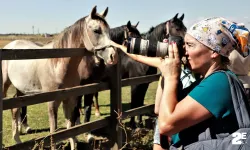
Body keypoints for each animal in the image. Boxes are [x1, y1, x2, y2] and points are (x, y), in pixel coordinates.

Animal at [1, 5, 117, 149]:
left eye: (108, 31)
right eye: (97, 30)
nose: (113, 56)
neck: (58, 64)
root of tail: (10, 45)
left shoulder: (70, 99)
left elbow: (70, 128)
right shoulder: (52, 102)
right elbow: (54, 131)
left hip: (21, 90)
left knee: (15, 108)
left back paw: (17, 140)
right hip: (5, 85)